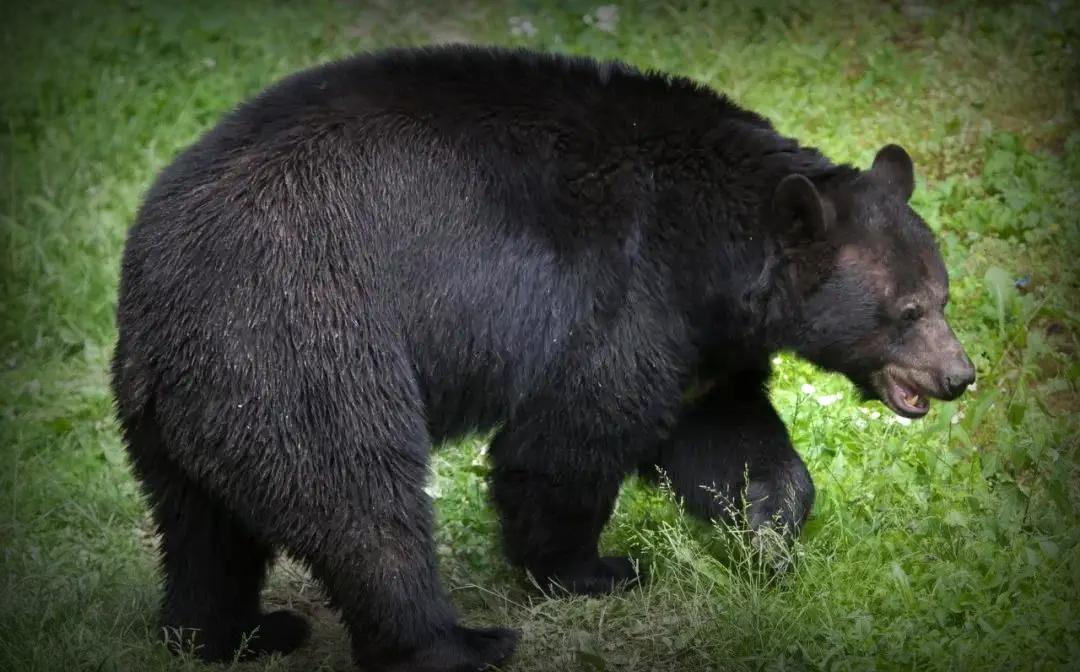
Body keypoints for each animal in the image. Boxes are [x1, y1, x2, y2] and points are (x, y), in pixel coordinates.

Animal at [113, 44, 976, 669]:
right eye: (907, 310)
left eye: (945, 294)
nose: (959, 376)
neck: (714, 248)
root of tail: (159, 311)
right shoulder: (624, 291)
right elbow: (573, 433)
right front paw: (591, 570)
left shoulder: (697, 337)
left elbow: (723, 432)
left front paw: (766, 532)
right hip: (305, 347)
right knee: (361, 503)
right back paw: (454, 644)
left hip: (181, 412)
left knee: (203, 530)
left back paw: (232, 635)